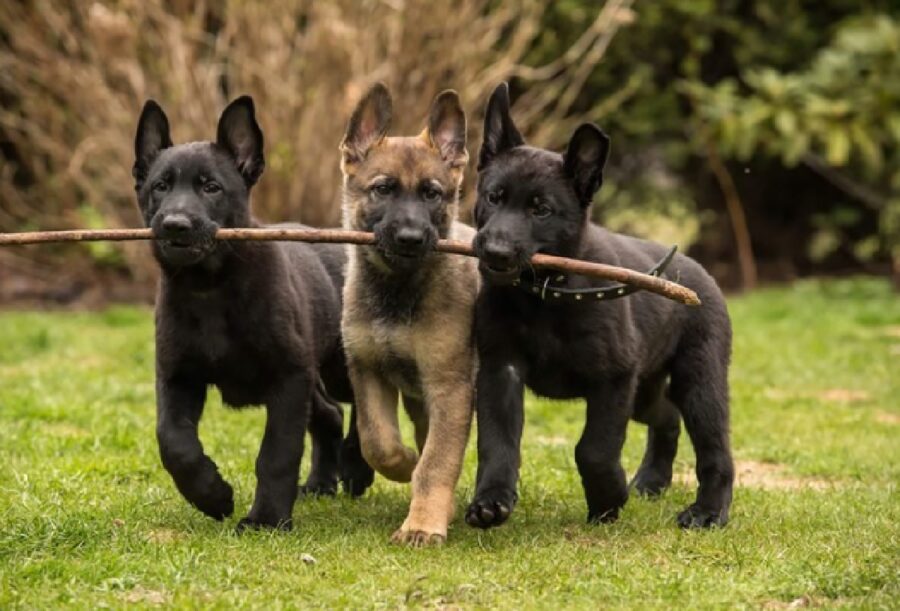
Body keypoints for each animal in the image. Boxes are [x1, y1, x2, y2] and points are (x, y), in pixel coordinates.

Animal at [130, 95, 370, 532]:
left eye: (211, 187)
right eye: (160, 186)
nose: (175, 225)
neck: (210, 288)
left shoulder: (288, 377)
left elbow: (276, 453)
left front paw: (266, 520)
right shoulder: (177, 376)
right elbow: (173, 441)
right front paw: (212, 495)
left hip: (339, 363)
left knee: (369, 402)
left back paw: (358, 467)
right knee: (330, 414)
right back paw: (320, 483)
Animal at [338, 83, 478, 548]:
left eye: (432, 193)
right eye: (383, 189)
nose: (412, 238)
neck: (397, 291)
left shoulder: (451, 388)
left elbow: (438, 462)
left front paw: (422, 525)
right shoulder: (368, 371)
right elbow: (377, 440)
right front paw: (404, 464)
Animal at [468, 82, 736, 532]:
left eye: (541, 210)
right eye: (493, 197)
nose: (496, 253)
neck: (544, 296)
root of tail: (697, 271)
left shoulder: (614, 379)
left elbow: (593, 448)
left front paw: (608, 499)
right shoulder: (499, 370)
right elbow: (497, 442)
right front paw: (491, 501)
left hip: (698, 381)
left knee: (715, 447)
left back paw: (708, 512)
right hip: (645, 391)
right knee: (667, 417)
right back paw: (651, 480)